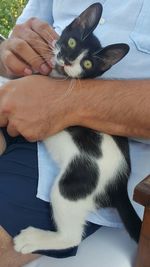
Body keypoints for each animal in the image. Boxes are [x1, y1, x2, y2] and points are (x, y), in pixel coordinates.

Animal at [0, 2, 142, 254]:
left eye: (87, 63)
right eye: (73, 42)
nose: (67, 59)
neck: (57, 75)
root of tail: (120, 183)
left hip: (75, 182)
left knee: (71, 236)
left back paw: (33, 239)